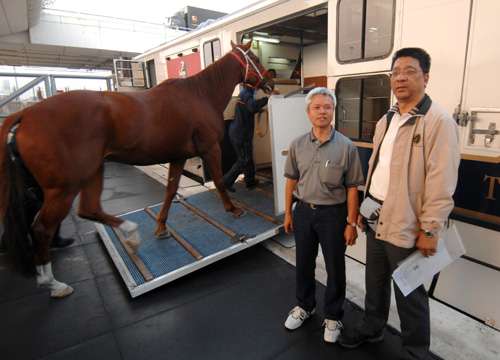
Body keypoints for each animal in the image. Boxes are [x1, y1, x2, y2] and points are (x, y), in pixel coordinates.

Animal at [0, 40, 274, 298]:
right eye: (254, 56)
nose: (270, 82)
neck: (200, 95)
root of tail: (27, 113)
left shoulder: (178, 157)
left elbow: (170, 191)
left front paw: (161, 227)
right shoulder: (210, 149)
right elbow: (218, 179)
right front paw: (232, 209)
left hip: (91, 172)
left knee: (89, 209)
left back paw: (129, 233)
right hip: (64, 187)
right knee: (42, 228)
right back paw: (53, 282)